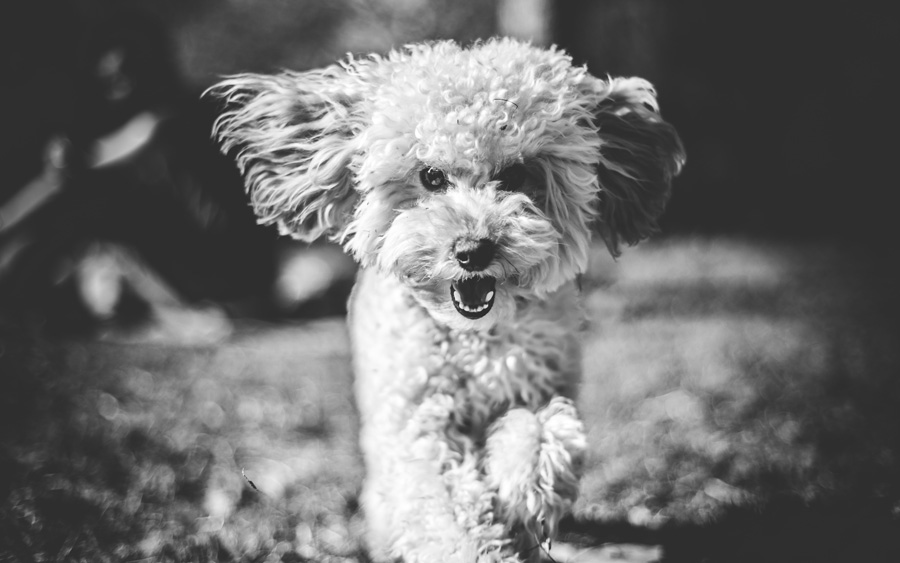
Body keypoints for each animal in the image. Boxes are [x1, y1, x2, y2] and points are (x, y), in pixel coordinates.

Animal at [206, 37, 684, 560]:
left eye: (517, 174)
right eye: (431, 176)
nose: (472, 251)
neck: (472, 340)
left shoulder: (539, 385)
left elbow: (545, 431)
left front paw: (523, 487)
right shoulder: (417, 426)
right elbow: (443, 504)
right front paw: (479, 543)